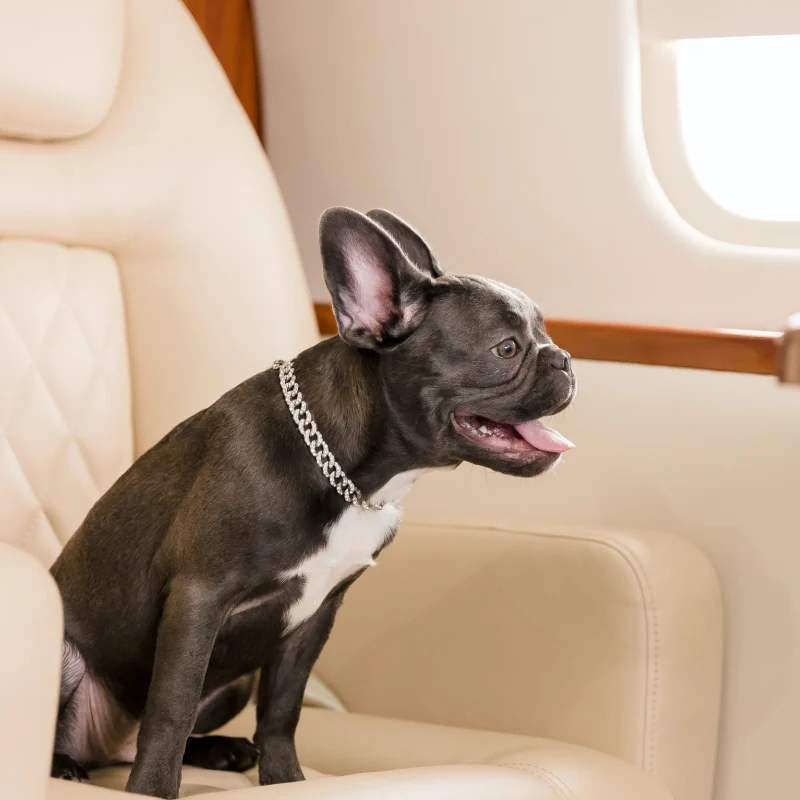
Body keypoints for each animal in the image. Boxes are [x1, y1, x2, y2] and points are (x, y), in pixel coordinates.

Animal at [50, 209, 576, 796]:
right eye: (506, 348)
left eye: (544, 335)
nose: (565, 360)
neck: (349, 476)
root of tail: (102, 749)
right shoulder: (198, 599)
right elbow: (171, 708)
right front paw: (152, 789)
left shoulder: (314, 617)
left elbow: (282, 711)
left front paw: (286, 780)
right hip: (65, 652)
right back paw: (65, 764)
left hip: (234, 686)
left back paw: (223, 751)